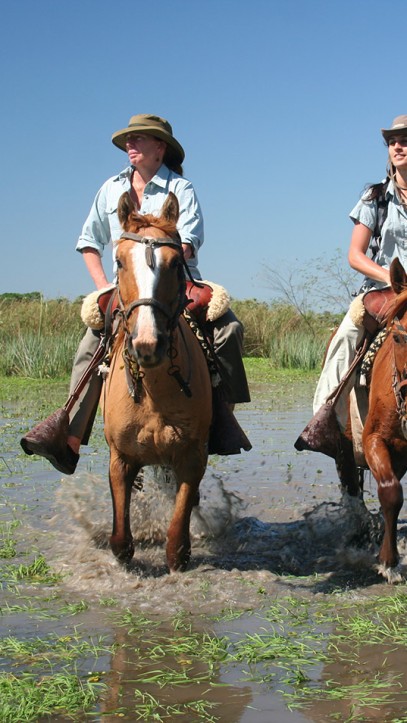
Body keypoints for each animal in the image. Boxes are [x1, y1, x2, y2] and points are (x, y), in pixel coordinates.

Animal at [101, 191, 212, 572]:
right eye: (119, 261)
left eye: (176, 263)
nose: (148, 344)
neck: (154, 392)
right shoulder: (120, 458)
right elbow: (120, 540)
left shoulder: (192, 455)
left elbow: (177, 535)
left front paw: (181, 551)